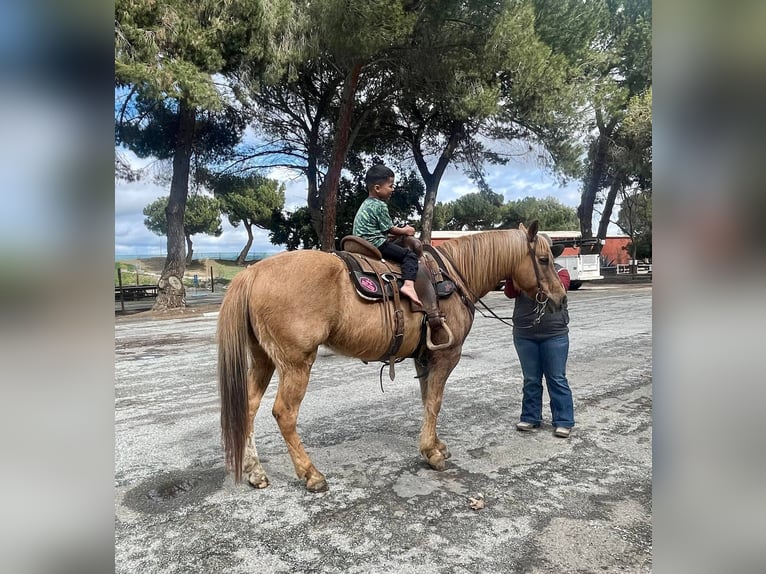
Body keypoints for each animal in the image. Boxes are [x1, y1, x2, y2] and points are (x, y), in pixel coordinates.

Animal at [219, 223, 568, 492]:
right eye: (543, 259)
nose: (560, 299)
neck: (454, 276)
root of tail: (254, 272)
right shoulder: (447, 356)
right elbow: (435, 402)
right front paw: (431, 453)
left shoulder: (425, 358)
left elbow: (427, 399)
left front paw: (435, 445)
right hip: (296, 362)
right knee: (284, 414)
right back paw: (311, 474)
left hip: (263, 358)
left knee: (249, 407)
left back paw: (256, 472)